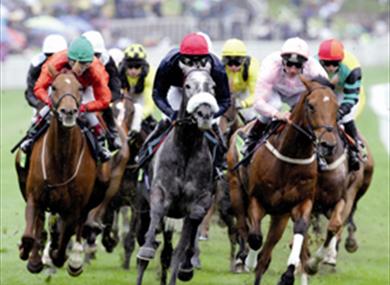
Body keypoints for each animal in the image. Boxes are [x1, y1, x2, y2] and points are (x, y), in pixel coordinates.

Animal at [16, 67, 108, 276]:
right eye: (54, 86)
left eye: (80, 88)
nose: (68, 111)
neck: (61, 160)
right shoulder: (34, 196)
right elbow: (29, 233)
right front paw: (27, 253)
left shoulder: (74, 207)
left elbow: (65, 240)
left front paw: (63, 257)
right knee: (42, 223)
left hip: (98, 190)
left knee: (80, 225)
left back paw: (74, 259)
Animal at [136, 63, 218, 284]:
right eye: (187, 85)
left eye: (213, 86)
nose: (204, 114)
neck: (186, 146)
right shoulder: (160, 194)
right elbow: (148, 245)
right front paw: (146, 251)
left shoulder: (201, 200)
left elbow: (181, 249)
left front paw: (185, 266)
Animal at [227, 77, 340, 284]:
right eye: (311, 106)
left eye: (337, 108)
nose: (328, 144)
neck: (290, 157)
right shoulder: (257, 200)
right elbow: (255, 238)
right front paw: (248, 261)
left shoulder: (300, 203)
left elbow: (300, 232)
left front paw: (288, 274)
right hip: (236, 191)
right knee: (243, 227)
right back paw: (243, 258)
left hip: (279, 216)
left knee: (266, 253)